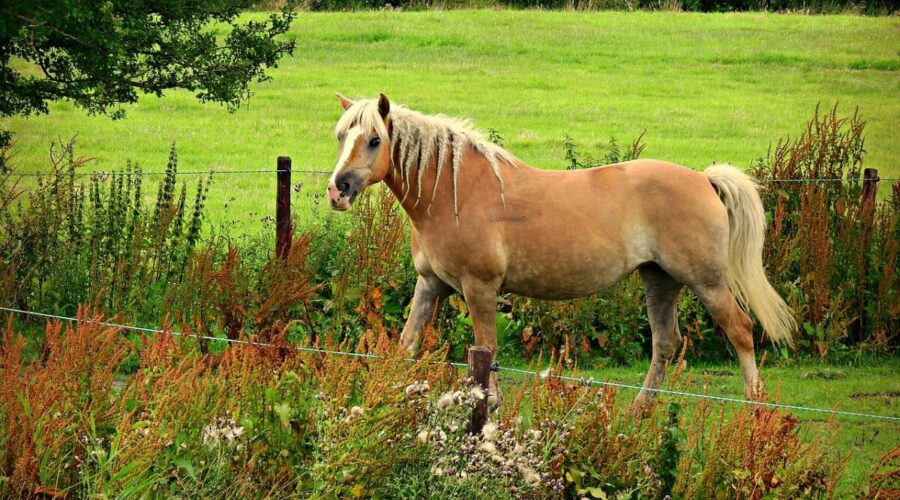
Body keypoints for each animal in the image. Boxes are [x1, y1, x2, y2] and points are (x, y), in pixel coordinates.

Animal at [325, 93, 795, 408]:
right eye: (341, 136)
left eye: (373, 140)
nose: (338, 189)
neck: (454, 193)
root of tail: (703, 179)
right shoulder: (430, 285)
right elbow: (406, 345)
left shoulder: (480, 288)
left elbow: (487, 351)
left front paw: (490, 409)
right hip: (660, 280)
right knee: (666, 343)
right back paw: (639, 412)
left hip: (707, 282)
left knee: (741, 331)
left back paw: (754, 406)